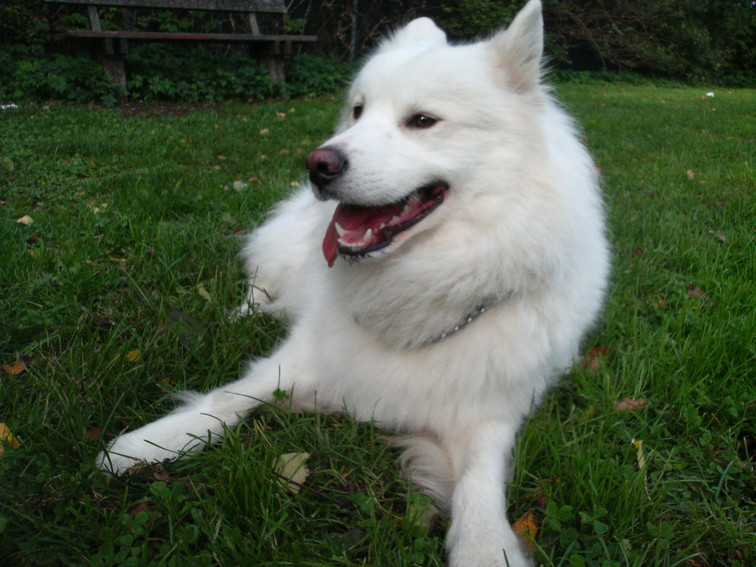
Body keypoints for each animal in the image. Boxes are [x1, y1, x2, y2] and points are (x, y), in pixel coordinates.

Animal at [97, 1, 609, 564]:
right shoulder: (297, 359)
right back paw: (241, 314)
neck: (422, 283)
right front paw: (146, 445)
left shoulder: (490, 414)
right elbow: (227, 399)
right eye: (359, 111)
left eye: (422, 121)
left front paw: (483, 546)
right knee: (260, 289)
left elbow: (479, 486)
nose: (318, 164)